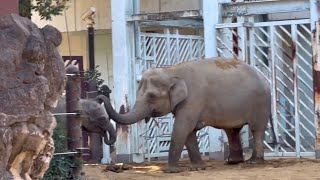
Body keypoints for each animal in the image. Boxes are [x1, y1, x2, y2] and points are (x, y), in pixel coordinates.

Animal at [97, 57, 276, 173]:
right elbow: (188, 131)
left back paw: (253, 162)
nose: (101, 94)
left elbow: (182, 128)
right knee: (232, 131)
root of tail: (265, 78)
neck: (171, 70)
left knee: (256, 129)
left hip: (260, 103)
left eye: (152, 96)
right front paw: (198, 168)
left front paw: (171, 171)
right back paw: (232, 162)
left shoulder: (193, 99)